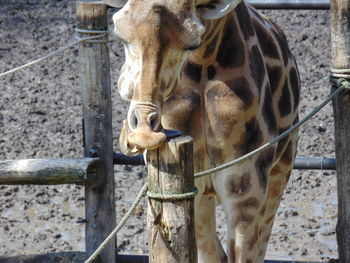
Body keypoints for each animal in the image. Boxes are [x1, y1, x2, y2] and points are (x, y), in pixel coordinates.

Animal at [108, 0, 300, 262]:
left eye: (191, 43)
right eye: (120, 35)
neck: (204, 61)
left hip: (282, 168)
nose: (144, 134)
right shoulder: (194, 183)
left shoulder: (247, 185)